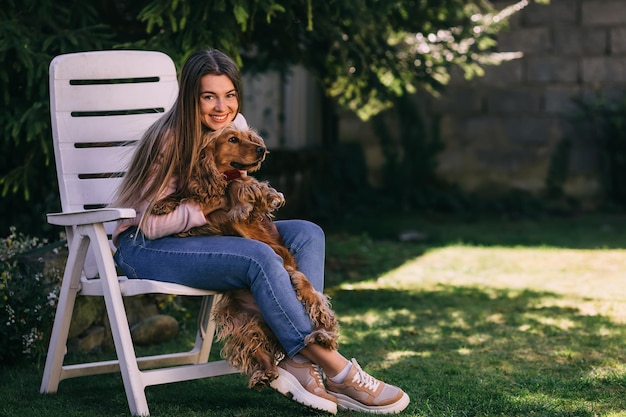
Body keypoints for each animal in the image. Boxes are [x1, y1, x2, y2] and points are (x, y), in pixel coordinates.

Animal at [151, 125, 336, 388]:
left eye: (250, 138)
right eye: (232, 139)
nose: (261, 149)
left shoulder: (254, 194)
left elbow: (240, 186)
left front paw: (239, 203)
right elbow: (188, 194)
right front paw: (163, 203)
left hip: (297, 280)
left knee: (318, 308)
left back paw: (323, 335)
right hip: (238, 320)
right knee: (256, 346)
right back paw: (264, 373)